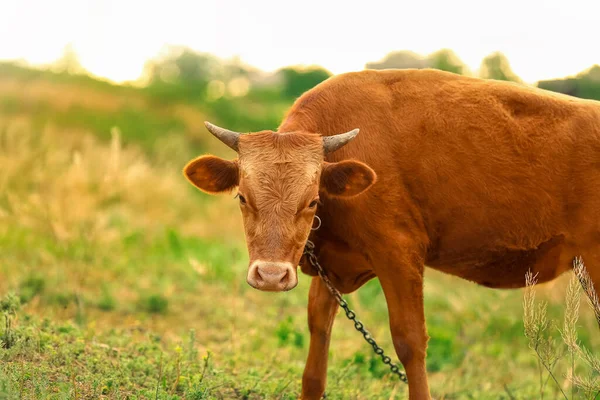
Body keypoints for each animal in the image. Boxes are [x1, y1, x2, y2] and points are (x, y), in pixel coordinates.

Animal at [183, 69, 600, 400]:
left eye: (313, 200)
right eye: (242, 196)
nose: (270, 276)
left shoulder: (399, 255)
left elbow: (409, 341)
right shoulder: (331, 266)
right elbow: (317, 340)